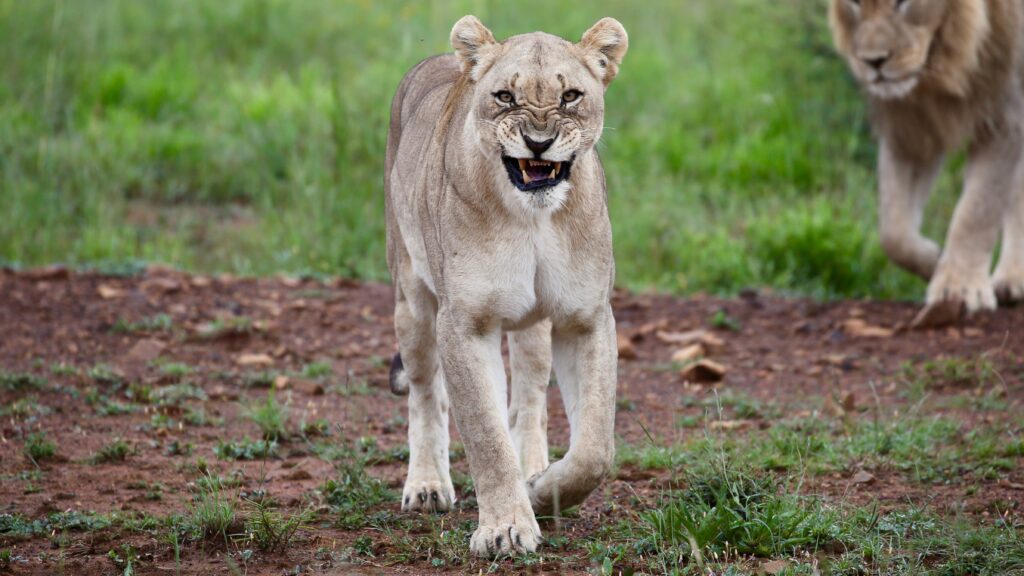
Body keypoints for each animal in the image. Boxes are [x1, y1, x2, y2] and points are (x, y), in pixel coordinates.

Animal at [383, 15, 627, 556]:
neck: (535, 218)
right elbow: (485, 435)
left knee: (530, 398)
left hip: (533, 327)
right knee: (426, 393)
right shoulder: (465, 324)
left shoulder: (585, 319)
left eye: (570, 96)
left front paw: (541, 491)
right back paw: (427, 486)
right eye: (505, 97)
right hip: (412, 299)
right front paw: (505, 528)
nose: (538, 143)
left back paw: (534, 468)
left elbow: (595, 448)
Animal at [829, 0, 1024, 312]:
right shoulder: (910, 130)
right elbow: (893, 233)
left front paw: (959, 287)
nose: (873, 62)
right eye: (855, 3)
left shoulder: (1005, 117)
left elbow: (976, 211)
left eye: (904, 2)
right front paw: (934, 260)